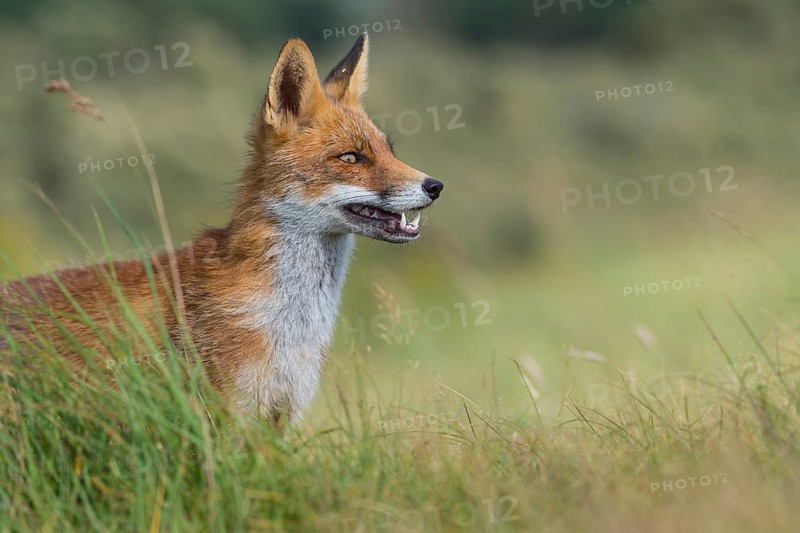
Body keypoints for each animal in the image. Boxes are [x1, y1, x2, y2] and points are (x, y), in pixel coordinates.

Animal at [0, 34, 444, 425]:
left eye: (389, 150)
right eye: (351, 157)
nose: (435, 186)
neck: (290, 323)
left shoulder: (281, 413)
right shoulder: (227, 410)